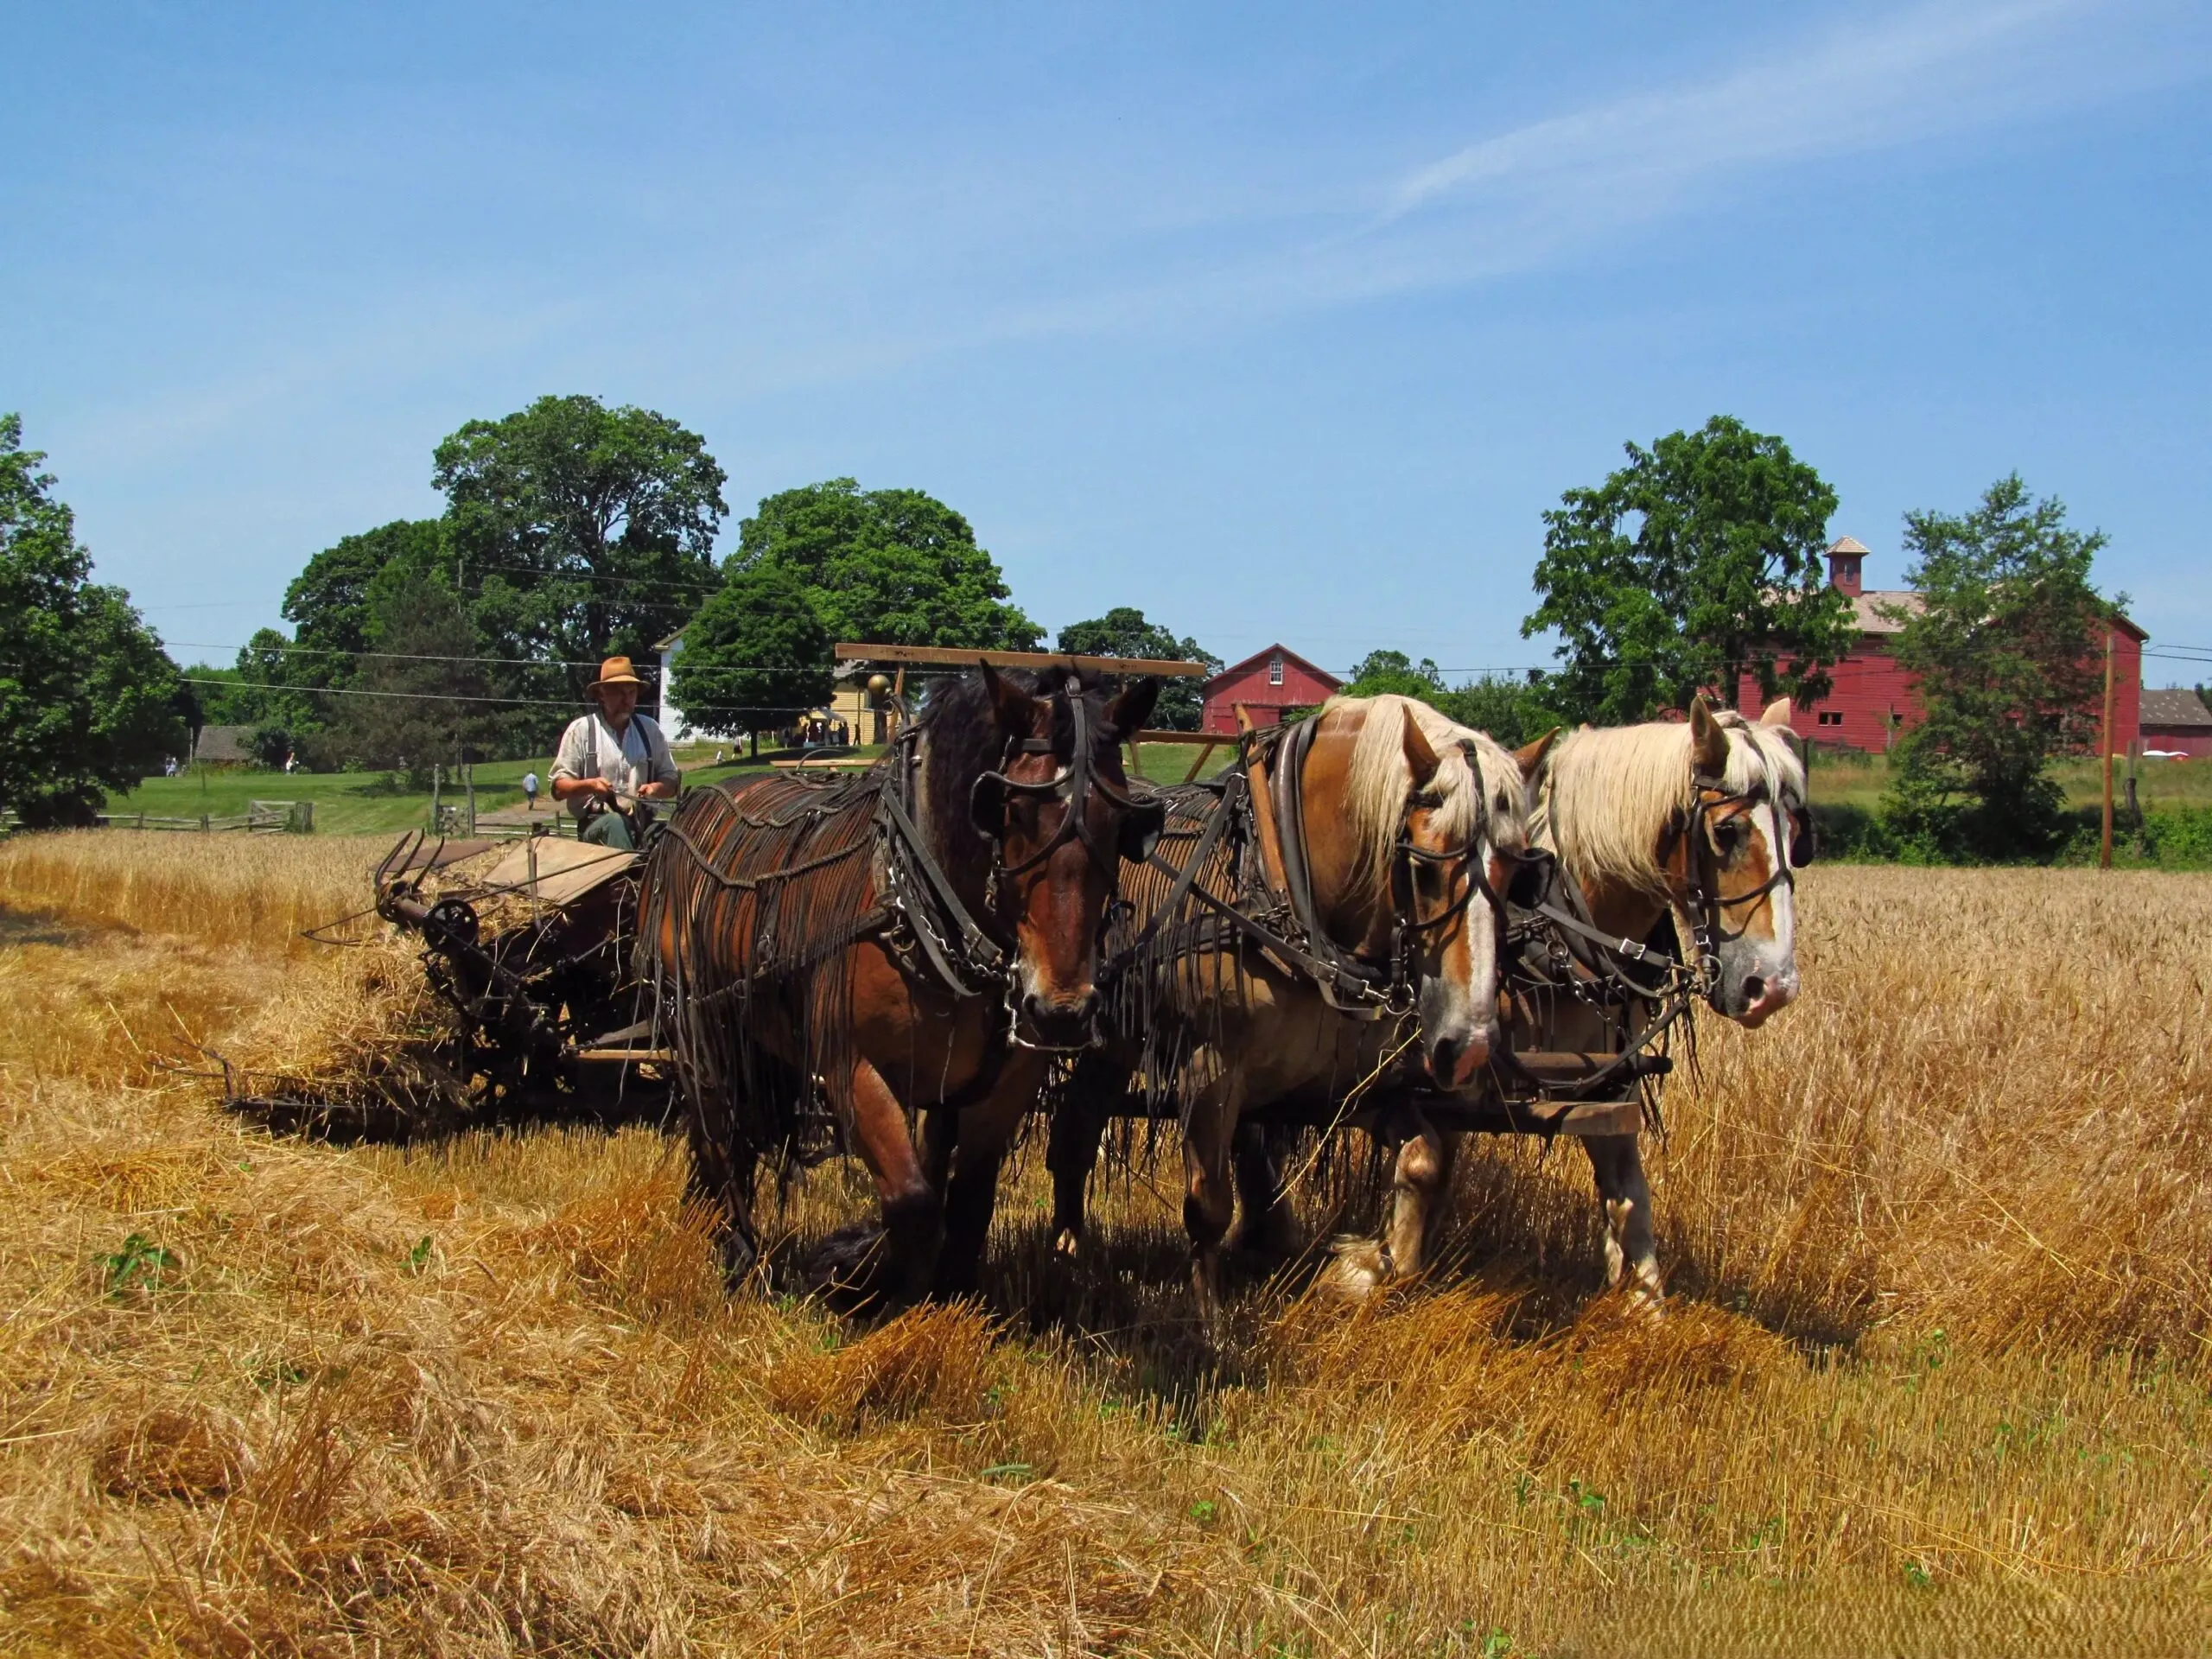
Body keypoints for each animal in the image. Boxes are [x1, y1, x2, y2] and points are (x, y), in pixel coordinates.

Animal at [637, 668, 1159, 1309]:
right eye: (1008, 811)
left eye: (1123, 823)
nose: (1060, 1013)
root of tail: (691, 807)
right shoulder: (850, 1069)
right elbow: (912, 1202)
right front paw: (861, 1278)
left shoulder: (1004, 1085)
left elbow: (967, 1203)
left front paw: (947, 1303)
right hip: (697, 1021)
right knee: (718, 1127)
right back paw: (737, 1251)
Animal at [1044, 694, 1548, 1336]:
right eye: (1424, 867)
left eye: (1519, 872)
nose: (1471, 1045)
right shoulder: (1209, 1072)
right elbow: (1208, 1203)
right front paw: (1209, 1320)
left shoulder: (1355, 1082)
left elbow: (1424, 1160)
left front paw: (1370, 1267)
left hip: (1115, 1041)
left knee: (1078, 1125)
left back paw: (1070, 1256)